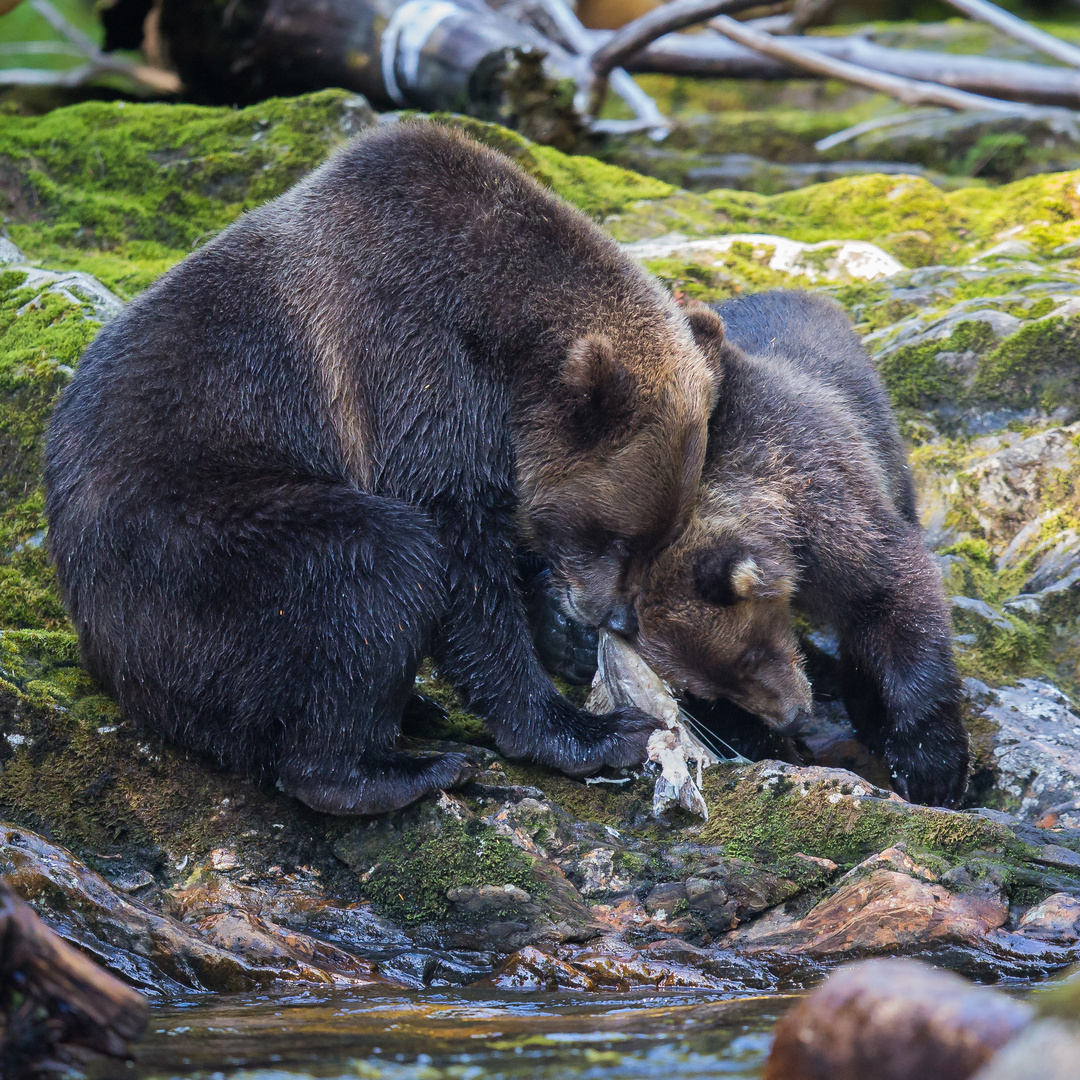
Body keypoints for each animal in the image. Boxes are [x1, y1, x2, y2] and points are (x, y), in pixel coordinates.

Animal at [44, 122, 717, 812]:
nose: (618, 619)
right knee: (372, 563)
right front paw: (589, 730)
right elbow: (455, 545)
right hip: (193, 553)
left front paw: (563, 638)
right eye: (615, 535)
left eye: (661, 537)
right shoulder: (410, 358)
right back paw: (397, 767)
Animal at [630, 291, 972, 807]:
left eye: (749, 654)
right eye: (710, 688)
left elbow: (894, 596)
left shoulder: (827, 503)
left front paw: (930, 765)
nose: (792, 718)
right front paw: (762, 741)